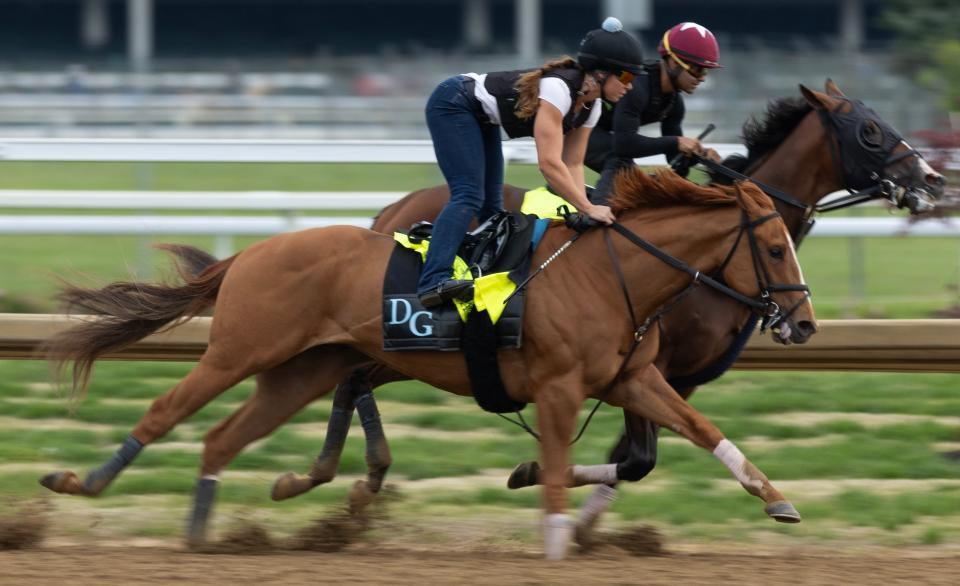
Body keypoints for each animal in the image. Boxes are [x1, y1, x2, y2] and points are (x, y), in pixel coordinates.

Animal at [41, 170, 812, 556]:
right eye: (775, 248)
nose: (803, 323)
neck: (607, 274)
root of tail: (254, 251)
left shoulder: (635, 378)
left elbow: (703, 432)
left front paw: (778, 499)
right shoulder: (558, 389)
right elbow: (561, 468)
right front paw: (555, 540)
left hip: (302, 371)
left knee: (222, 437)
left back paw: (211, 529)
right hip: (241, 348)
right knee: (167, 410)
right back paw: (80, 480)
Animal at [298, 81, 944, 544]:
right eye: (869, 130)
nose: (933, 179)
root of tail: (389, 212)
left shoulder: (665, 375)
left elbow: (643, 454)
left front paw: (560, 499)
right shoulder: (651, 365)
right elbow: (637, 459)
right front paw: (560, 502)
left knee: (352, 380)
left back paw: (347, 481)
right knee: (351, 380)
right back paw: (348, 482)